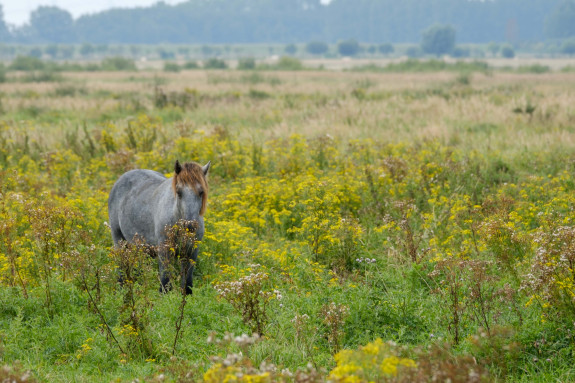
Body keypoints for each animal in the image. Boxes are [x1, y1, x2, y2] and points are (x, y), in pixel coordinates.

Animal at [107, 160, 210, 296]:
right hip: (119, 240)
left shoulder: (191, 251)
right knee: (122, 269)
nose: (189, 226)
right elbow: (165, 281)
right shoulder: (164, 250)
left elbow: (187, 284)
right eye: (179, 192)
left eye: (201, 192)